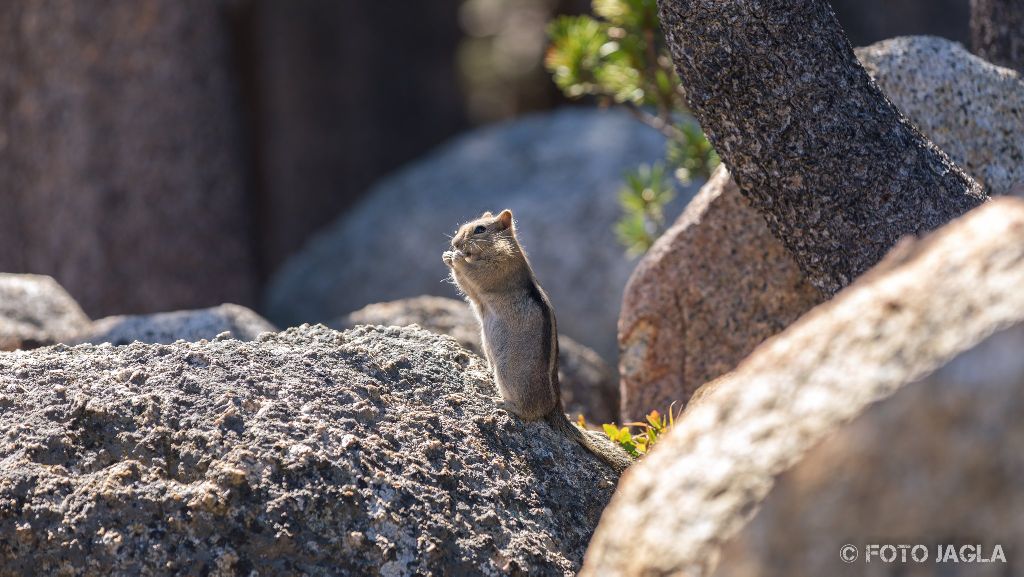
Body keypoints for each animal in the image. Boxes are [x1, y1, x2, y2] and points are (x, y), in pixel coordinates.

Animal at [442, 209, 633, 473]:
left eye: (480, 229)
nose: (455, 243)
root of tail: (554, 408)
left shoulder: (500, 267)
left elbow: (477, 274)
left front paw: (457, 257)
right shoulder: (475, 292)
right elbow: (466, 284)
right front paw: (448, 255)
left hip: (509, 375)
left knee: (528, 413)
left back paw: (501, 403)